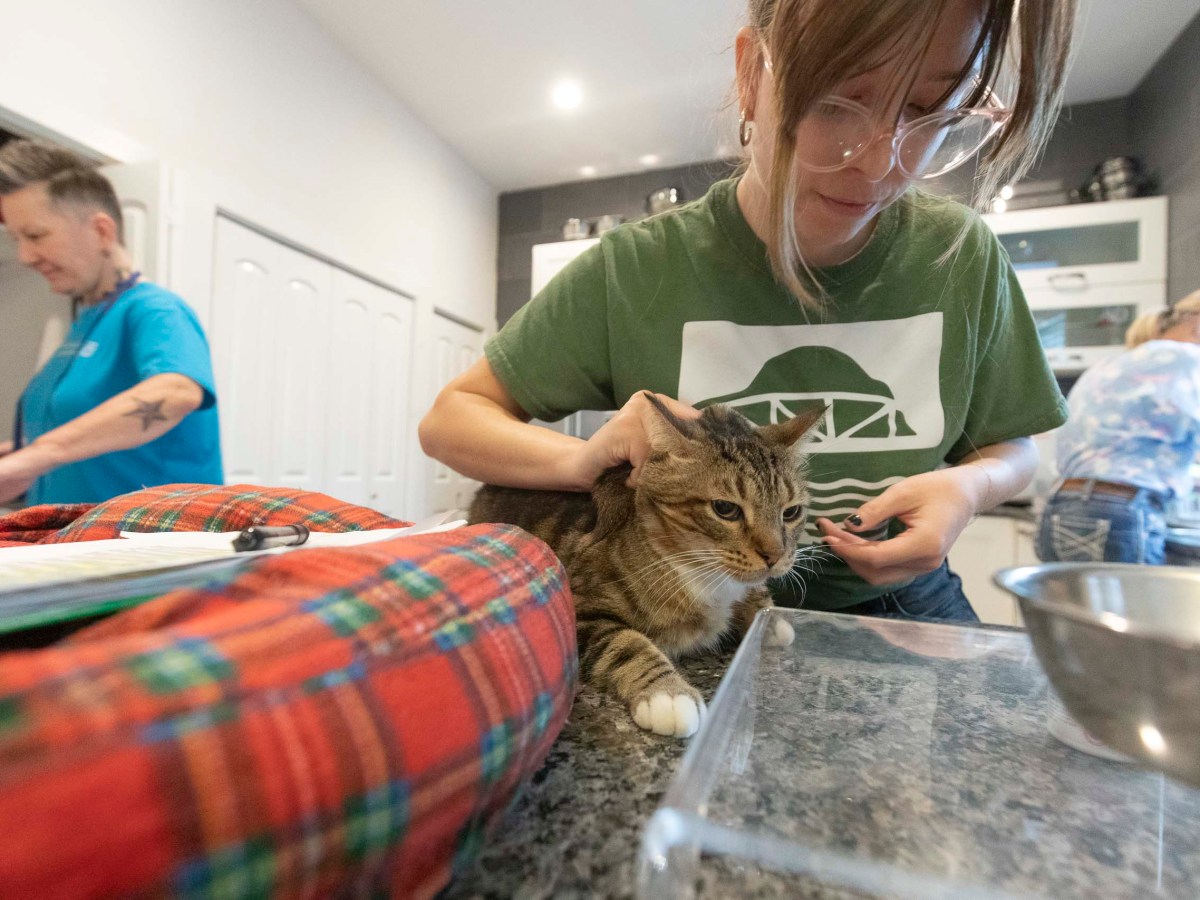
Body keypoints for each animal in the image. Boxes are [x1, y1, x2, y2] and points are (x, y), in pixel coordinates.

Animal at [465, 396, 825, 739]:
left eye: (791, 512)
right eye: (725, 509)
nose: (775, 556)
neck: (699, 572)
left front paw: (770, 617)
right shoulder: (579, 608)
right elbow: (626, 643)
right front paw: (668, 695)